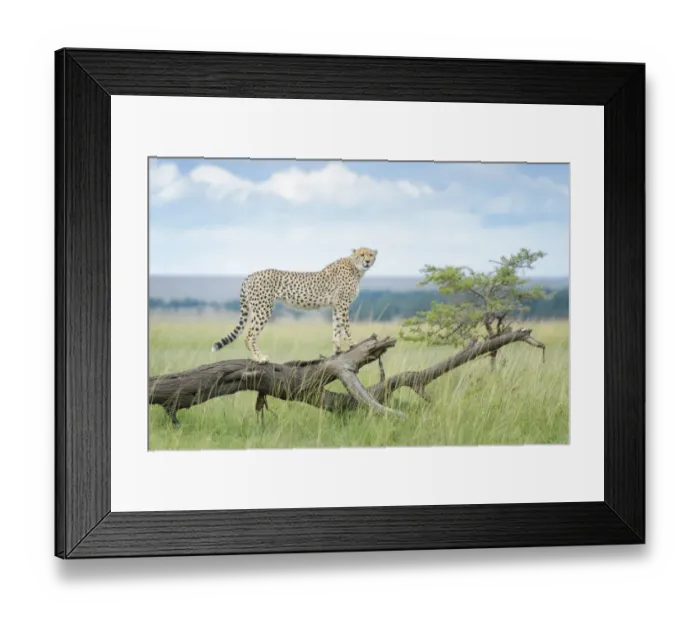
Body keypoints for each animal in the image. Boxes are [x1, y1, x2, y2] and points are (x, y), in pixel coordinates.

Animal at [211, 248, 378, 363]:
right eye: (362, 254)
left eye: (371, 254)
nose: (367, 262)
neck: (355, 268)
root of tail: (251, 275)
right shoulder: (343, 304)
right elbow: (346, 327)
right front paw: (353, 344)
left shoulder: (336, 305)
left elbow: (337, 328)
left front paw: (337, 350)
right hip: (263, 309)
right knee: (249, 335)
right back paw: (259, 358)